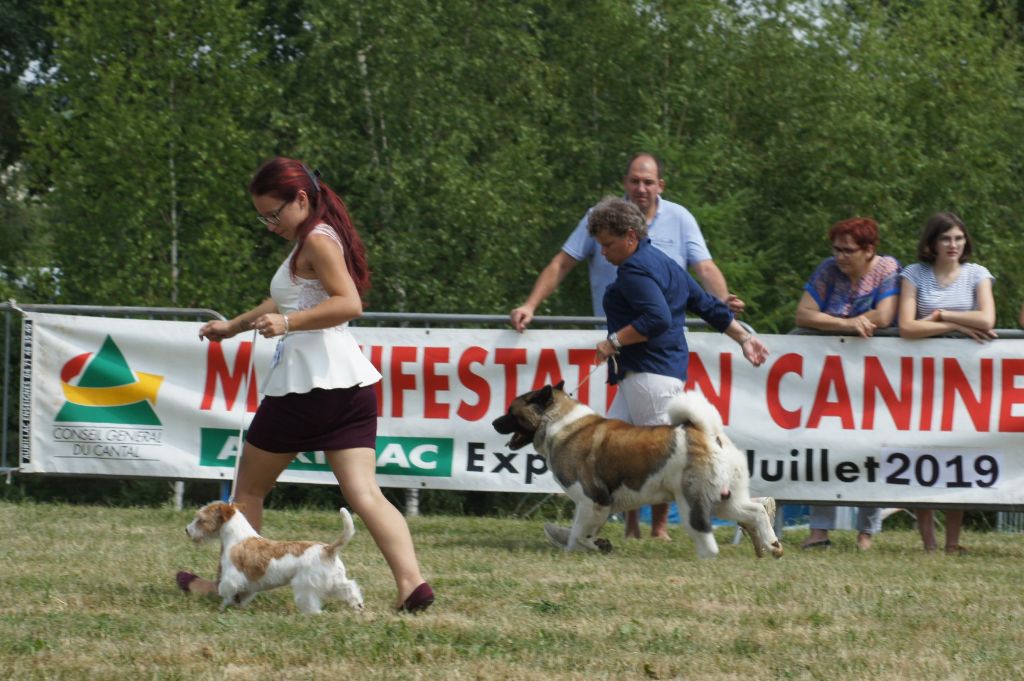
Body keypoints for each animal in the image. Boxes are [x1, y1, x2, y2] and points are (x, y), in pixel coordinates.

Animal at [186, 499, 366, 614]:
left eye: (201, 519)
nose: (187, 530)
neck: (238, 537)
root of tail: (327, 549)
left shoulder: (233, 576)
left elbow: (226, 590)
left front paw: (222, 607)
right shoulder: (249, 584)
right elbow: (242, 595)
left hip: (305, 586)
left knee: (312, 603)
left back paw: (311, 614)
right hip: (334, 581)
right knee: (349, 587)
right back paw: (357, 606)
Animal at [491, 382, 778, 557]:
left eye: (511, 412)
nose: (494, 423)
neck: (559, 422)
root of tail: (706, 433)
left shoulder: (592, 500)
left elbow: (580, 534)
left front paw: (594, 546)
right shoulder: (596, 505)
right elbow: (578, 533)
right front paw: (592, 545)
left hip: (692, 501)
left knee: (705, 532)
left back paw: (707, 557)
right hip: (724, 500)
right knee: (755, 511)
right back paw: (772, 545)